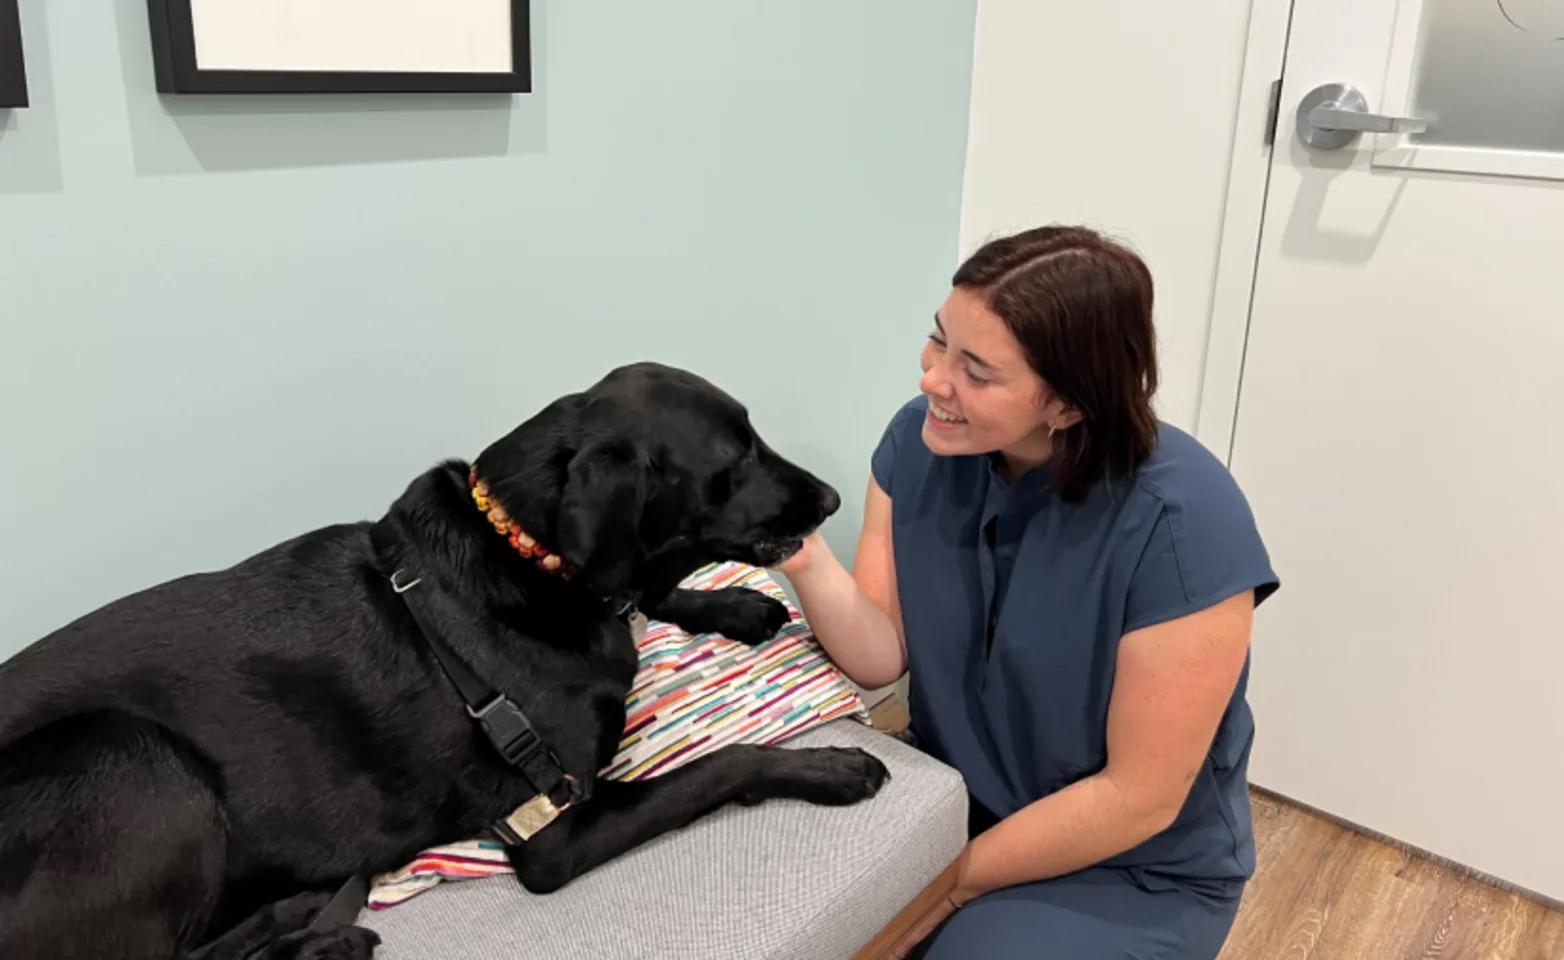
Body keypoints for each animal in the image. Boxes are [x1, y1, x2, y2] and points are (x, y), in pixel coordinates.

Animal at [0, 364, 894, 956]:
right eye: (733, 460)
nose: (831, 499)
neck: (526, 558)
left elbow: (646, 594)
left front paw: (732, 606)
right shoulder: (550, 829)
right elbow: (720, 765)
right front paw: (830, 769)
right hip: (133, 757)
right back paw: (313, 931)